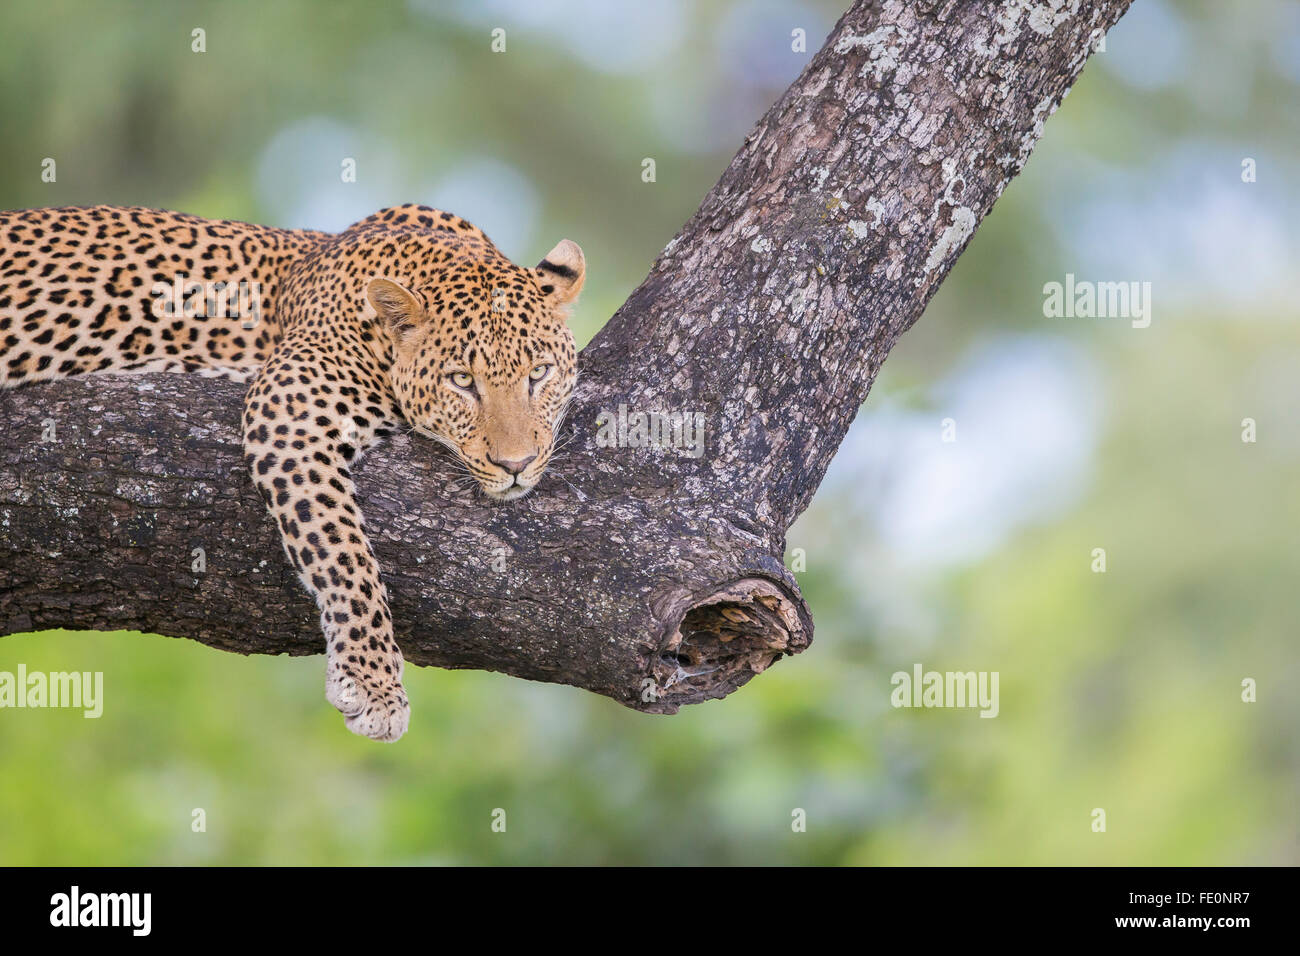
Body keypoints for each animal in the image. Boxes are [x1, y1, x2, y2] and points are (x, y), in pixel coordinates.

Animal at [0, 203, 585, 741]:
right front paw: (373, 682)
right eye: (462, 380)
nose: (516, 465)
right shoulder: (289, 408)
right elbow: (342, 550)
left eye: (539, 373)